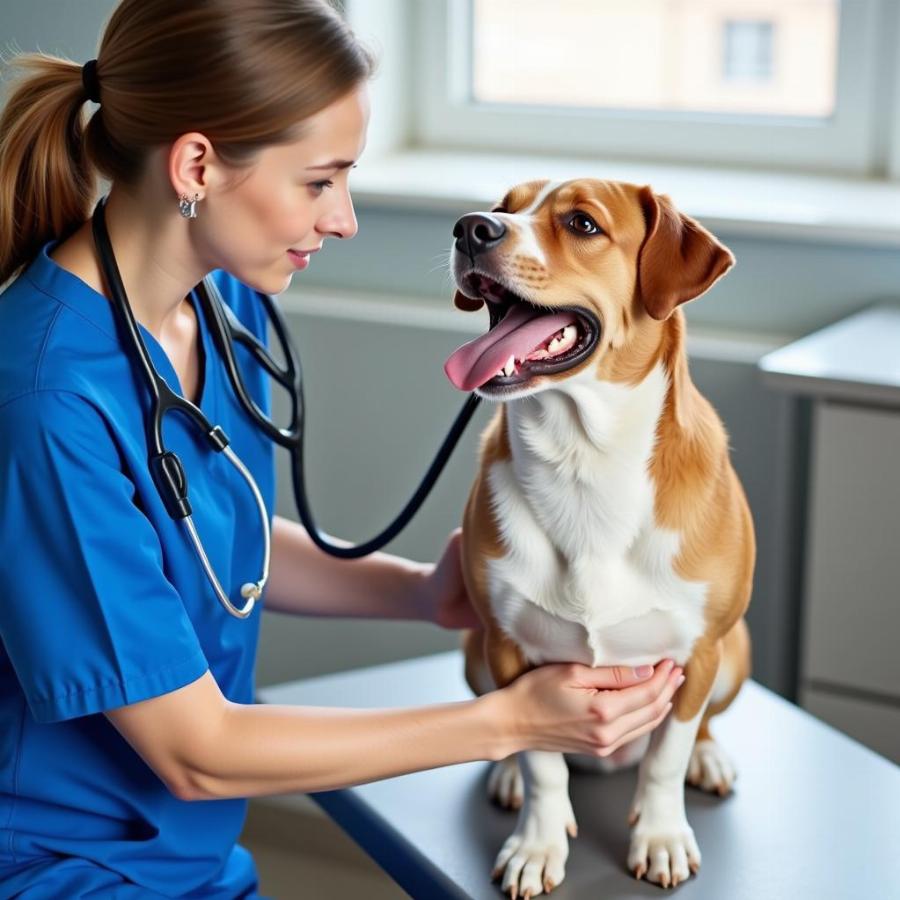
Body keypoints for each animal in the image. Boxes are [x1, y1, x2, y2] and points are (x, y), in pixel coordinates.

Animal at [446, 181, 756, 892]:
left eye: (582, 224)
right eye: (503, 207)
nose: (471, 228)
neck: (584, 461)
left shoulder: (698, 654)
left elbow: (667, 757)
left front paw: (661, 835)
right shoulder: (505, 647)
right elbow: (539, 759)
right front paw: (536, 843)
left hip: (735, 654)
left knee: (694, 733)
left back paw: (708, 760)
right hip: (474, 651)